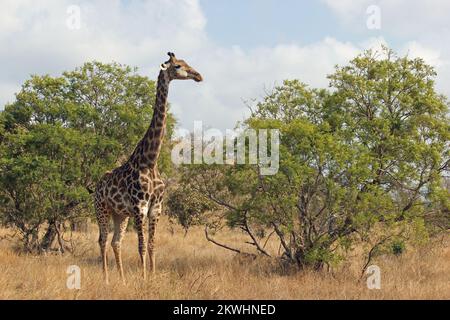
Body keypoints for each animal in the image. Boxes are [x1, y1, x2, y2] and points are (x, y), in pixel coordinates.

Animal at [95, 52, 204, 282]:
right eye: (178, 66)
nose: (198, 75)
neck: (150, 161)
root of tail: (97, 185)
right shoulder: (140, 207)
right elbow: (142, 246)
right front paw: (145, 279)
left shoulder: (156, 208)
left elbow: (153, 245)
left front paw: (152, 277)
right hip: (102, 209)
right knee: (102, 240)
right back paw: (106, 279)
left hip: (120, 215)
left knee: (115, 242)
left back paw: (122, 279)